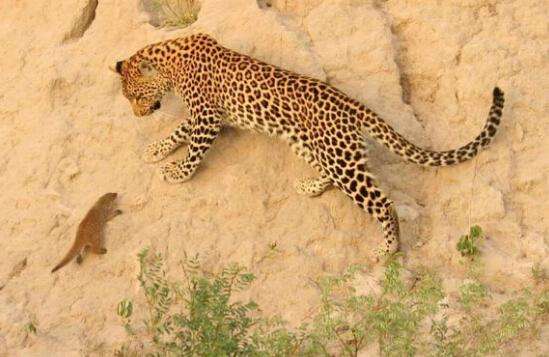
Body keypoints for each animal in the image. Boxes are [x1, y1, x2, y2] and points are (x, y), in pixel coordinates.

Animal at [112, 33, 506, 258]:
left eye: (136, 96)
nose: (138, 115)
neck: (170, 61)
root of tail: (352, 105)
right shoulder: (213, 116)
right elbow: (180, 130)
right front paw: (156, 149)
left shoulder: (208, 117)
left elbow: (193, 146)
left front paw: (179, 172)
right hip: (308, 145)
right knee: (329, 175)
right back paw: (311, 186)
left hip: (341, 160)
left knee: (383, 203)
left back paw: (388, 248)